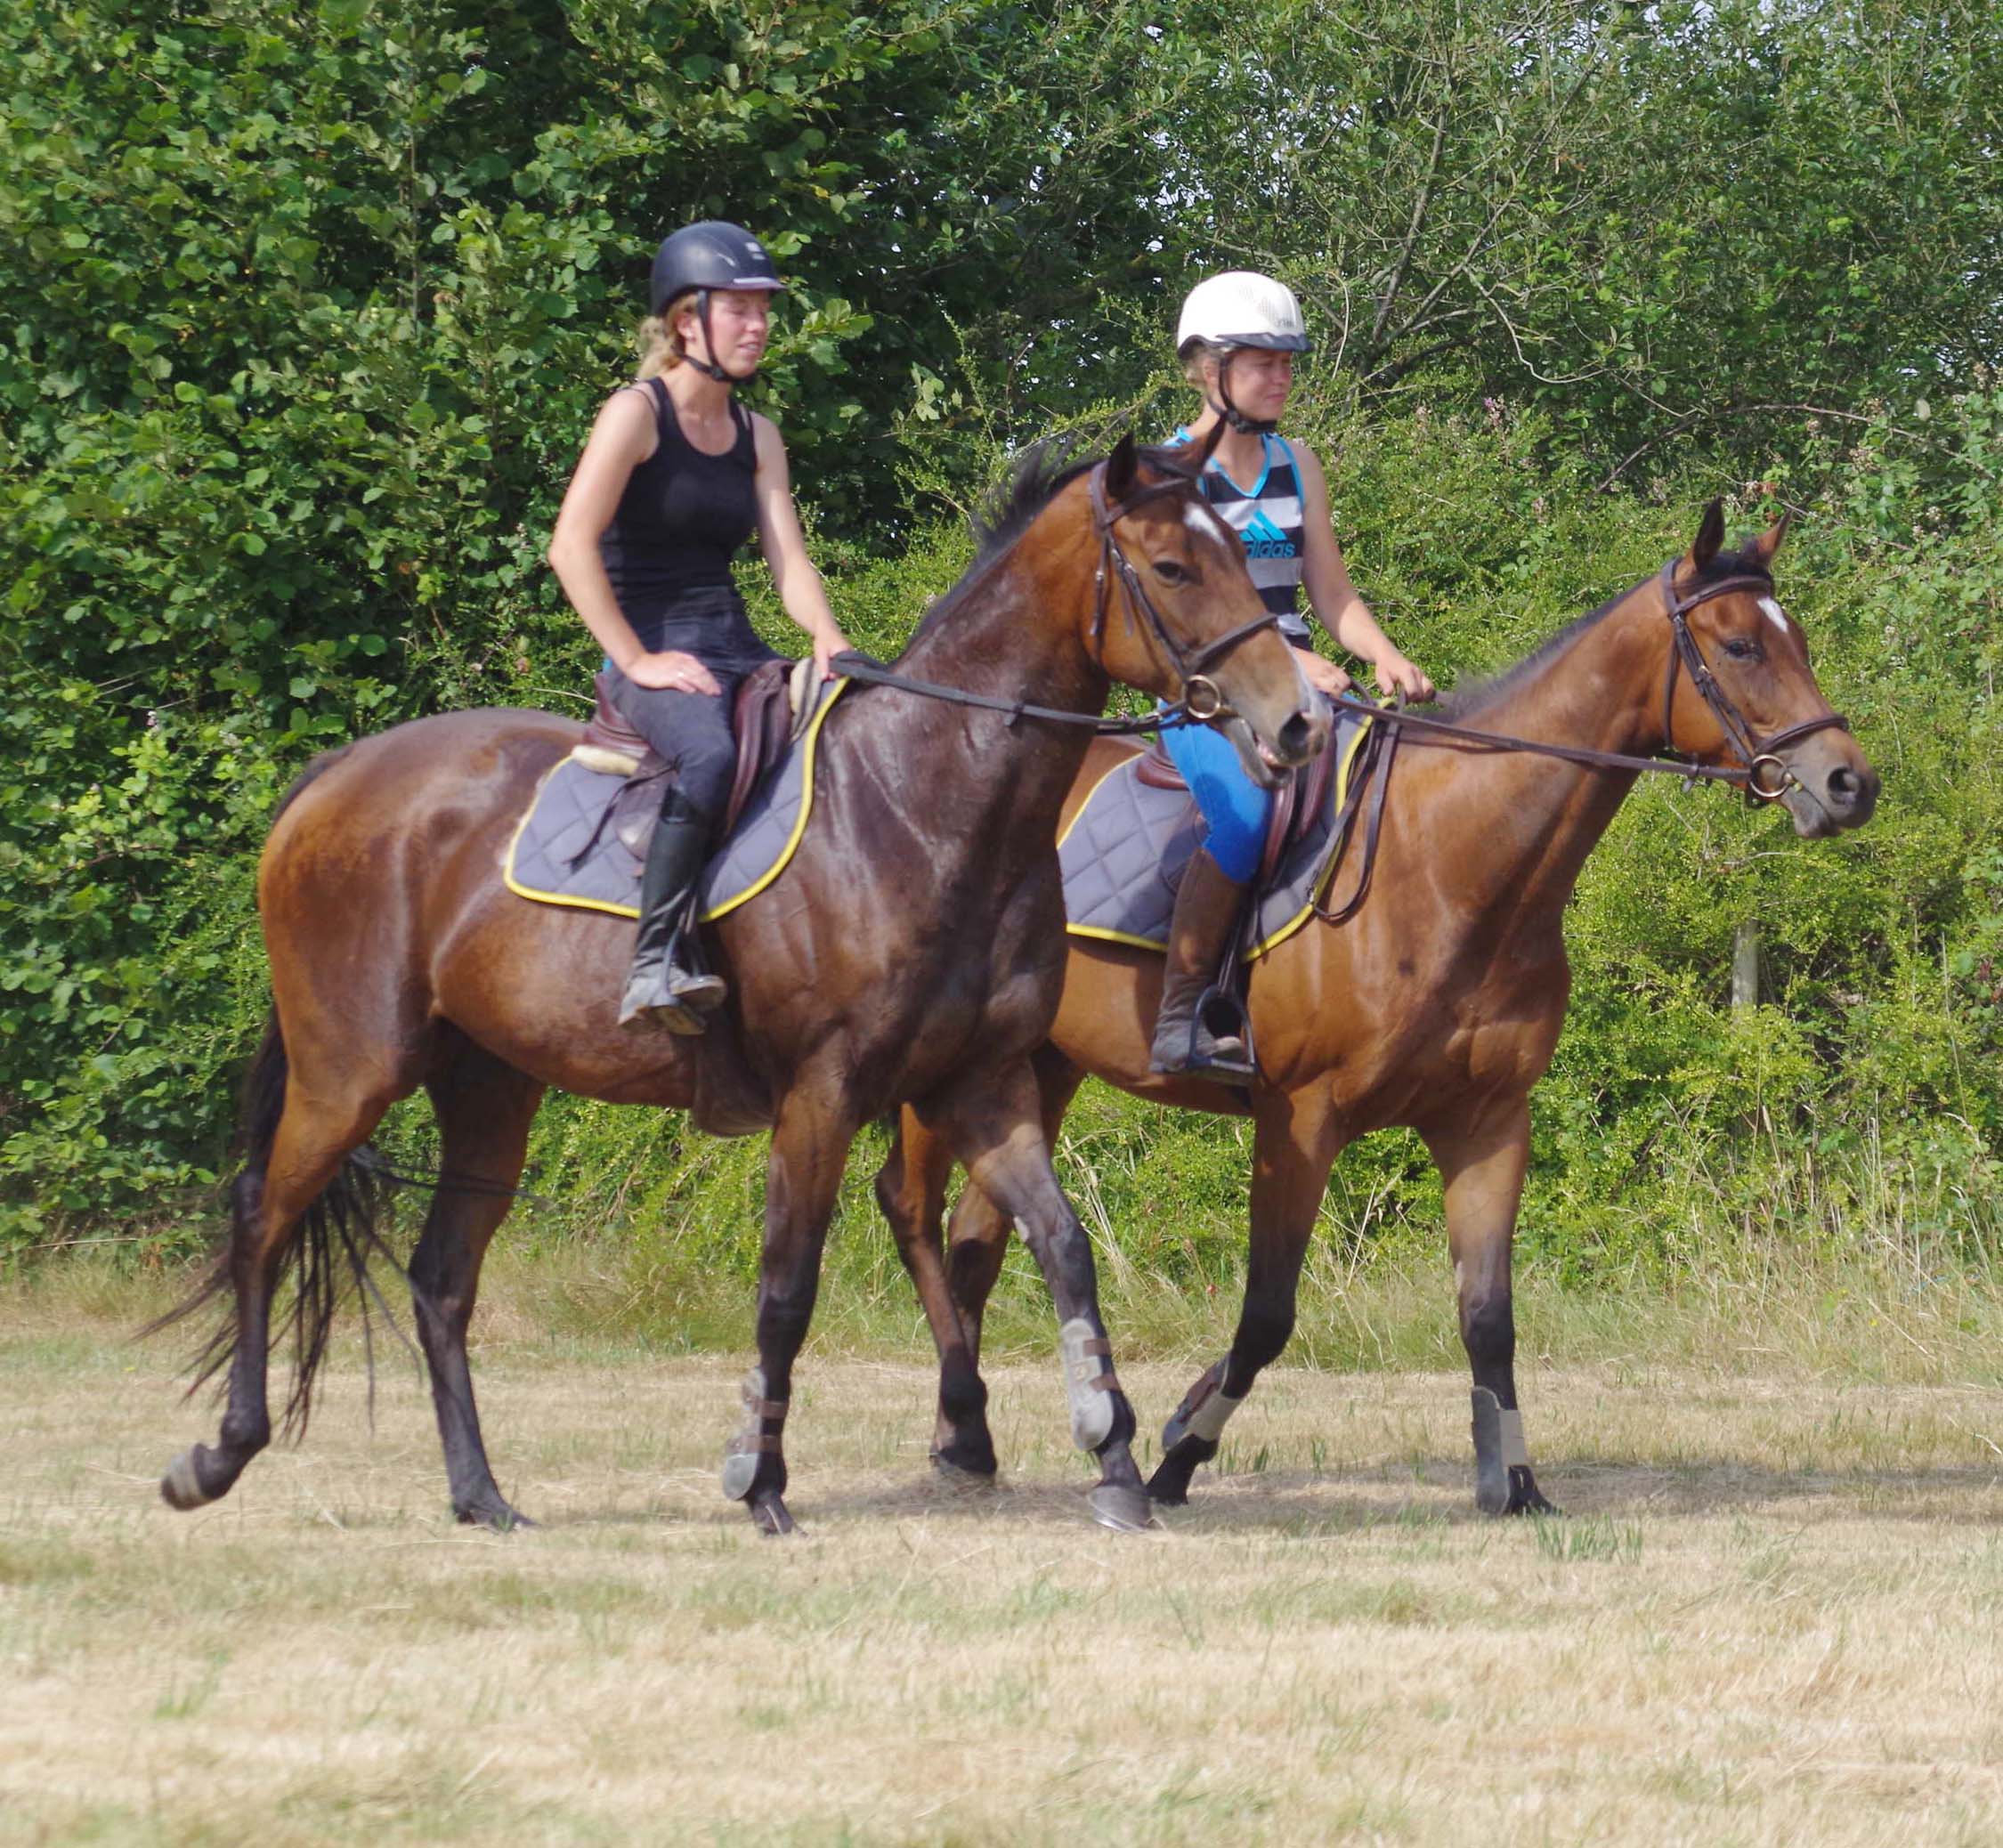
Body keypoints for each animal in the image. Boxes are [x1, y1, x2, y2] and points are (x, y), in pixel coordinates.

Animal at [160, 434, 1330, 1529]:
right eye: (1174, 567)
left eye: (1244, 555)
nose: (1299, 724)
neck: (924, 803)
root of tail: (334, 778)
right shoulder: (822, 1093)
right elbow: (786, 1287)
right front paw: (757, 1479)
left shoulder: (985, 1084)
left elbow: (1064, 1249)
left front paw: (1118, 1460)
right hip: (352, 1070)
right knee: (262, 1216)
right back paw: (216, 1457)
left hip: (489, 1089)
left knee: (441, 1280)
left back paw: (482, 1496)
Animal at [877, 502, 1875, 1513]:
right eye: (1743, 644)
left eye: (1797, 640)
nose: (1850, 783)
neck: (1448, 862)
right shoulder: (1300, 1121)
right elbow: (1267, 1315)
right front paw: (1180, 1448)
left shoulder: (1486, 1121)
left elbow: (1489, 1317)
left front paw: (1513, 1481)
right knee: (914, 1210)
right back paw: (964, 1433)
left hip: (1042, 1064)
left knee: (977, 1237)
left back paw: (967, 1436)